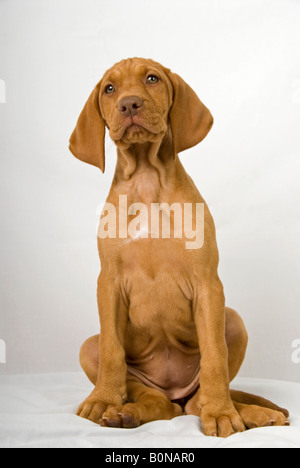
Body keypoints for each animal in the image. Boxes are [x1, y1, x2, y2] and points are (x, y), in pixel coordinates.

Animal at [69, 58, 290, 438]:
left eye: (152, 78)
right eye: (109, 88)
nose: (129, 104)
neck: (147, 179)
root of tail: (173, 389)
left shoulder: (208, 284)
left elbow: (215, 356)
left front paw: (221, 413)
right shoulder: (107, 283)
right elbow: (112, 351)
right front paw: (103, 400)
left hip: (234, 320)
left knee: (193, 402)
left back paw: (250, 413)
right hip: (91, 349)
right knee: (160, 403)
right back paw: (125, 411)